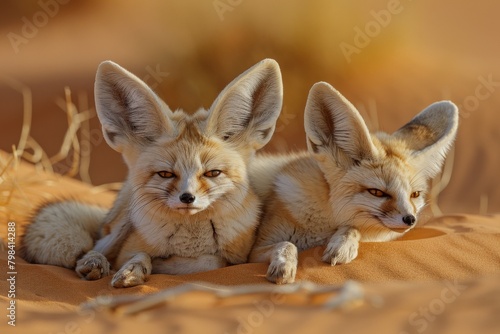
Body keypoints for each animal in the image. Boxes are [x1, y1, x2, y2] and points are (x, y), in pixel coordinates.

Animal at [20, 58, 286, 288]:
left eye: (213, 173)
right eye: (165, 174)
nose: (187, 198)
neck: (190, 245)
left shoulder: (239, 256)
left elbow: (212, 261)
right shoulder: (130, 248)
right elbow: (141, 256)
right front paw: (134, 270)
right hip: (122, 222)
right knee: (95, 246)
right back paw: (93, 262)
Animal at [248, 81, 458, 284]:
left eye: (415, 194)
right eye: (377, 192)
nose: (410, 219)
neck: (325, 217)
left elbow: (353, 228)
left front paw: (342, 245)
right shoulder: (255, 250)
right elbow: (287, 244)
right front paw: (284, 265)